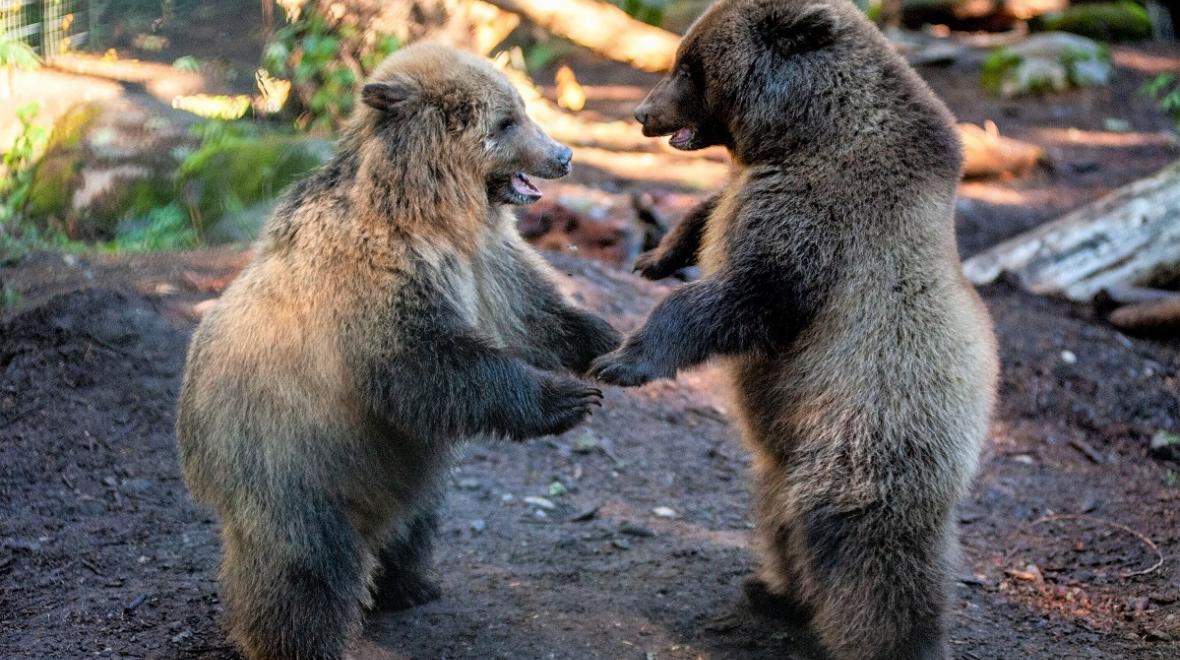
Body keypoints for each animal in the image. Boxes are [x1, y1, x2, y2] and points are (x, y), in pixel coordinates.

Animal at [176, 43, 620, 660]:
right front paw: (568, 398)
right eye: (506, 121)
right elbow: (425, 360)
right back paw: (301, 638)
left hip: (386, 460)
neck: (429, 211)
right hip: (284, 453)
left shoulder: (486, 262)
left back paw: (408, 584)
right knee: (305, 559)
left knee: (415, 518)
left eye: (521, 109)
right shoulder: (379, 278)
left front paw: (609, 339)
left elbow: (533, 314)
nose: (564, 154)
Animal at [589, 1, 999, 659]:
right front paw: (658, 254)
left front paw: (626, 359)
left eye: (688, 66)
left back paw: (885, 637)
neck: (804, 133)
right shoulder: (759, 189)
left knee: (866, 551)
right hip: (789, 453)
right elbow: (710, 213)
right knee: (779, 514)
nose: (642, 112)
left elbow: (747, 296)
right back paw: (776, 591)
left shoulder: (818, 223)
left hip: (868, 426)